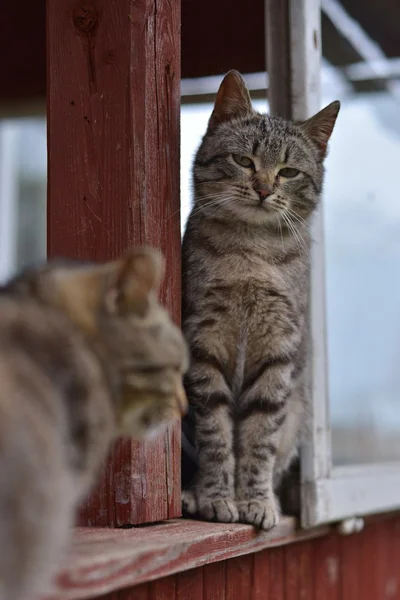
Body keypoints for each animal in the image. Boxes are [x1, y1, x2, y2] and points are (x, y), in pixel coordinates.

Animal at [183, 70, 340, 528]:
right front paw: (217, 496)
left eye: (288, 171)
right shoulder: (203, 344)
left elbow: (259, 439)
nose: (264, 188)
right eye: (244, 161)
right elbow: (216, 435)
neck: (252, 251)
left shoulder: (277, 352)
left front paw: (254, 500)